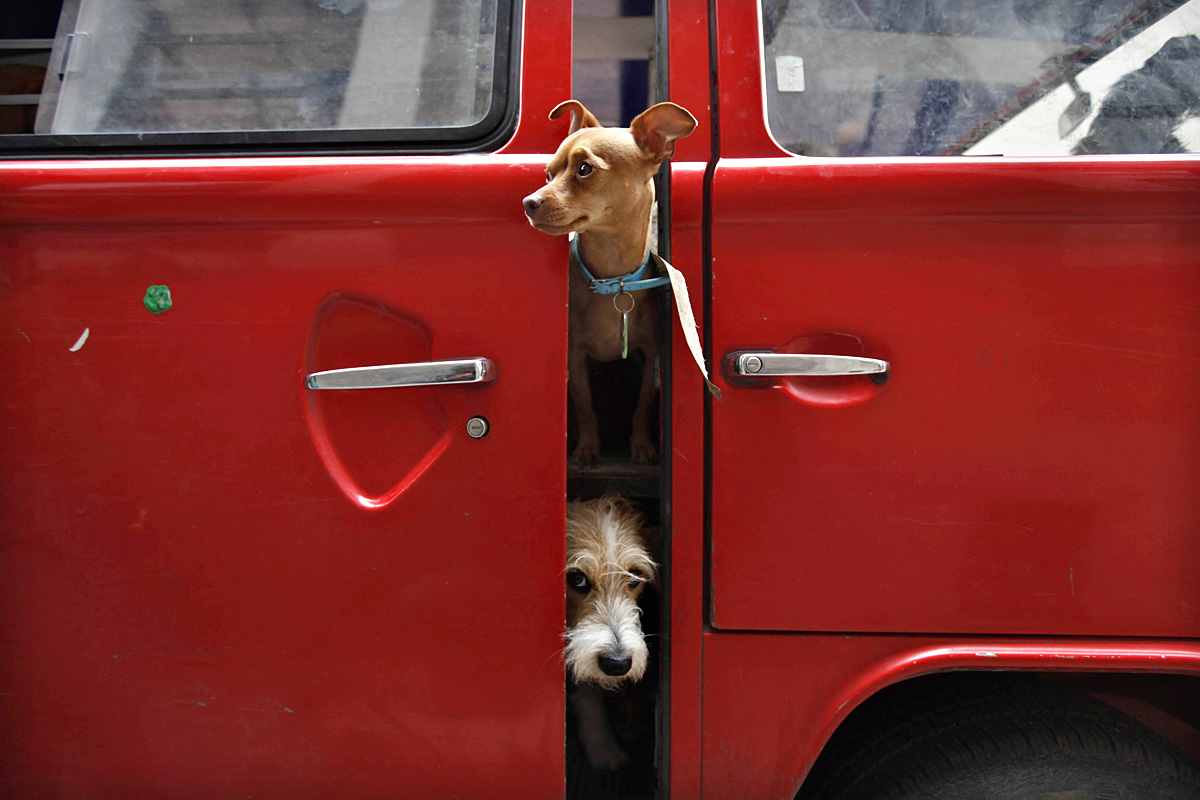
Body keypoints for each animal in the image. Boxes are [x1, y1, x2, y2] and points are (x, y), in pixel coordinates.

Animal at [520, 100, 700, 465]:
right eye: (548, 174)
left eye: (585, 169)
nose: (529, 203)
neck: (612, 276)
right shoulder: (575, 358)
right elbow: (585, 406)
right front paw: (587, 447)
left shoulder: (651, 355)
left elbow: (643, 405)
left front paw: (642, 446)